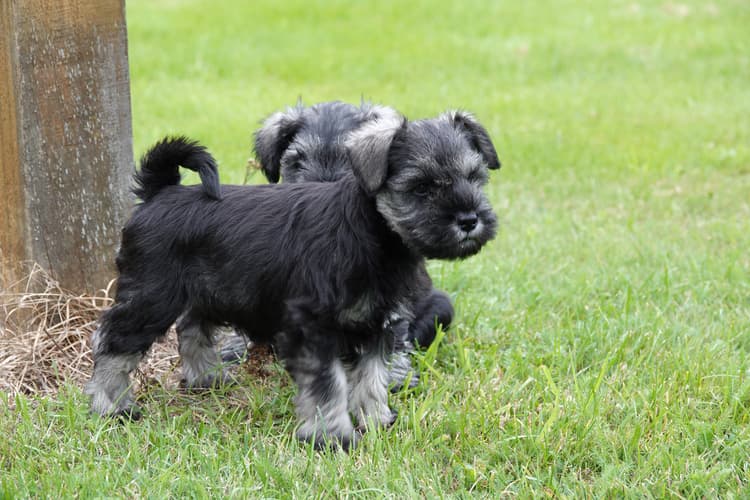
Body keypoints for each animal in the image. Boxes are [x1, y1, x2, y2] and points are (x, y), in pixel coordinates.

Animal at [85, 109, 500, 450]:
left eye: (474, 177)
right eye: (422, 187)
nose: (469, 219)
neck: (374, 234)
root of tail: (160, 191)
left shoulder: (378, 325)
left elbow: (371, 379)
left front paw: (376, 420)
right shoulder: (312, 326)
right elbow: (329, 384)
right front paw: (332, 437)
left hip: (209, 290)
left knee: (191, 327)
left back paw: (207, 378)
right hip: (152, 295)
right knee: (112, 343)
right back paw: (112, 407)